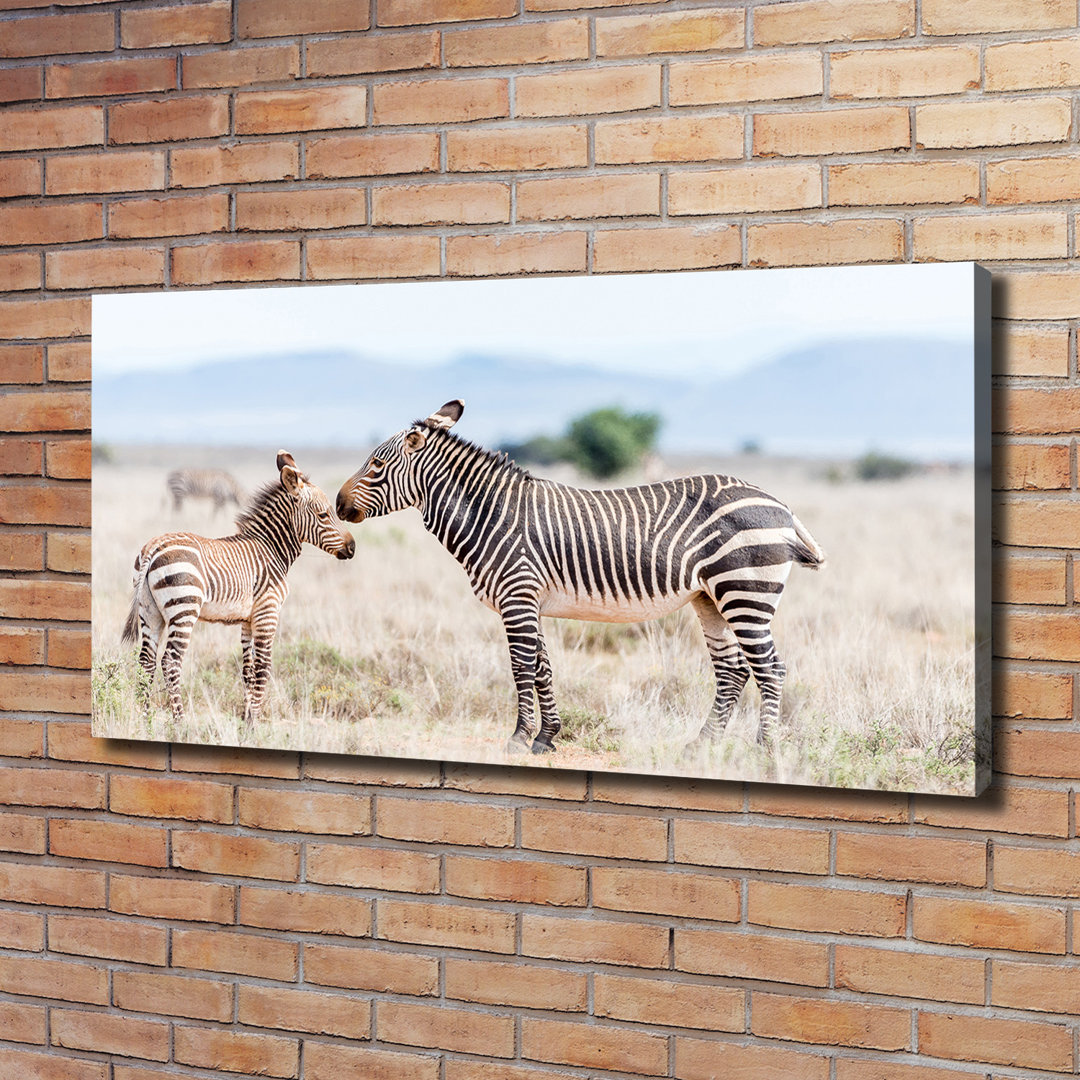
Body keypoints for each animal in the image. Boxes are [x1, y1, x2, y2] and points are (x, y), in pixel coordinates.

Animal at [124, 447, 354, 725]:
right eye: (323, 515)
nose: (352, 547)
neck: (271, 548)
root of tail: (154, 547)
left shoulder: (247, 620)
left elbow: (248, 670)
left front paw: (247, 717)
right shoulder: (268, 613)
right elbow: (263, 668)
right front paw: (256, 720)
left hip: (149, 611)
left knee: (146, 661)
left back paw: (144, 719)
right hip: (184, 608)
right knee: (170, 661)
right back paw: (180, 721)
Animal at [332, 401, 820, 756]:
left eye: (376, 465)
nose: (337, 505)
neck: (490, 515)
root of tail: (781, 504)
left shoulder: (517, 595)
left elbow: (521, 666)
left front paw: (517, 739)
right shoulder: (529, 600)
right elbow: (543, 667)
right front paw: (546, 738)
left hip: (745, 591)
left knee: (770, 668)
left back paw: (765, 750)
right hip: (710, 597)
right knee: (732, 669)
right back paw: (701, 745)